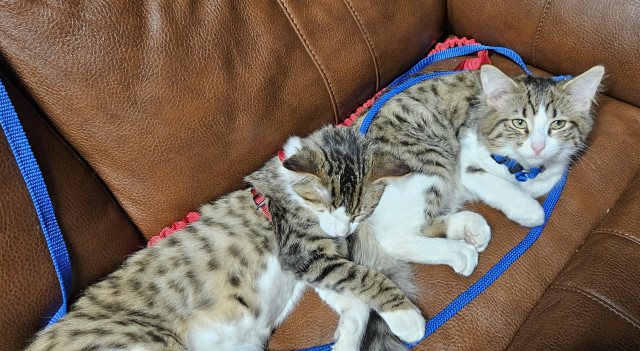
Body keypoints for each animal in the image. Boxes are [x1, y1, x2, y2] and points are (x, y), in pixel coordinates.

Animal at [25, 126, 424, 351]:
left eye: (357, 212)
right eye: (324, 204)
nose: (341, 230)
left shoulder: (308, 264)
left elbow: (354, 299)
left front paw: (346, 340)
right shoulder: (302, 252)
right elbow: (364, 277)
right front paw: (407, 316)